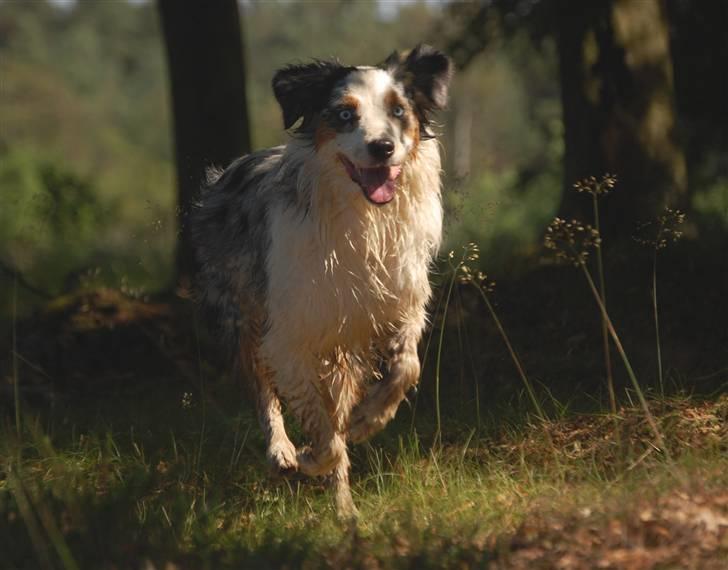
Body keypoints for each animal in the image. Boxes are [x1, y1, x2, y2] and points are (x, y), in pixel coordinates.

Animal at [192, 44, 456, 516]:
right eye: (344, 114)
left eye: (399, 110)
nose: (382, 147)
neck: (363, 218)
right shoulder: (289, 335)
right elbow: (324, 434)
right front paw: (308, 457)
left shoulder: (399, 305)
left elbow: (406, 368)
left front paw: (368, 419)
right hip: (244, 313)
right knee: (261, 388)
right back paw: (282, 451)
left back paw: (345, 507)